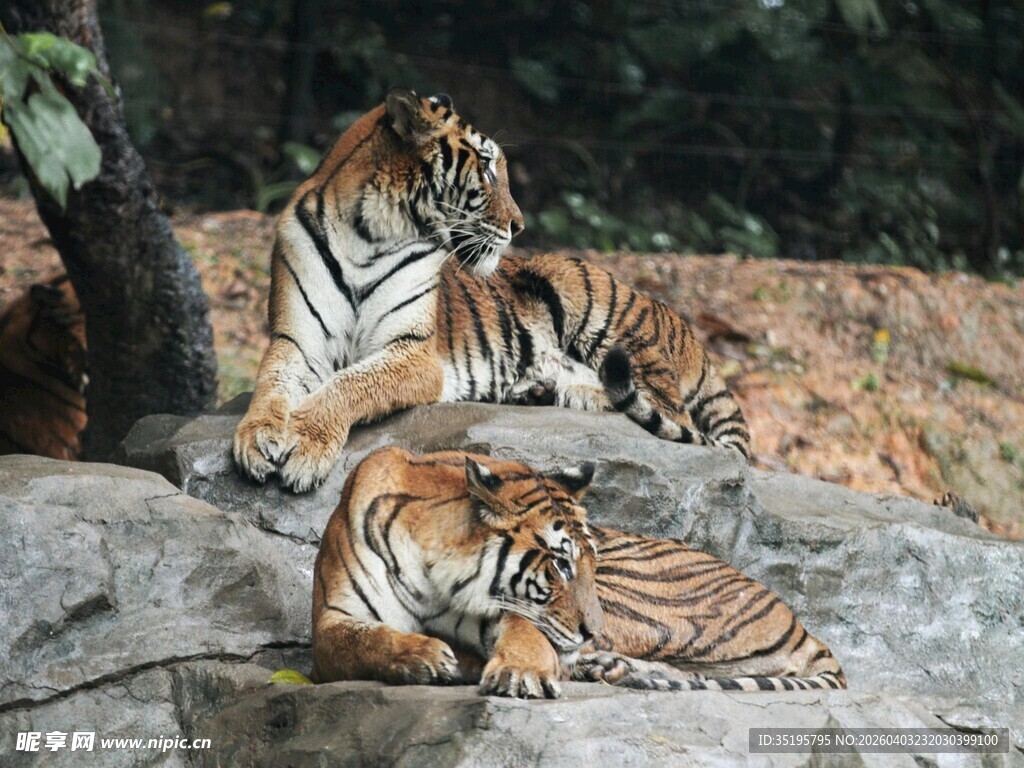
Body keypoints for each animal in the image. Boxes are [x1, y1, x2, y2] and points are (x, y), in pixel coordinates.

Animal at [233, 88, 749, 493]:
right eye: (485, 168)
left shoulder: (413, 352)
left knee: (666, 411)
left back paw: (573, 394)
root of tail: (681, 322)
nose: (519, 225)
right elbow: (272, 385)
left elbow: (349, 384)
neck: (369, 233)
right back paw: (535, 390)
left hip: (597, 307)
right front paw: (257, 439)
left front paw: (305, 448)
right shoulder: (296, 340)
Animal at [312, 448, 845, 698]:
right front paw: (423, 655)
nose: (593, 630)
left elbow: (529, 636)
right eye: (561, 564)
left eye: (589, 561)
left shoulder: (512, 612)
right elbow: (366, 640)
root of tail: (804, 628)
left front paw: (520, 673)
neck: (436, 575)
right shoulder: (330, 621)